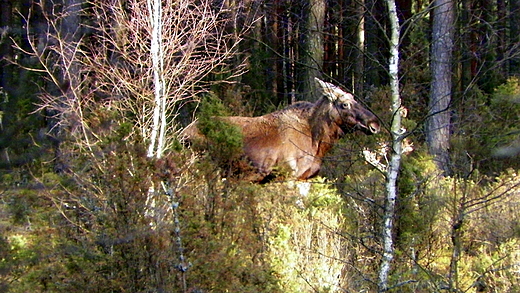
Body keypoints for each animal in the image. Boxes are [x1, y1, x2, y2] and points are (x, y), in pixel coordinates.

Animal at [185, 77, 380, 180]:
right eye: (345, 104)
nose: (375, 124)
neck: (318, 142)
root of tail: (183, 133)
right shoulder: (289, 176)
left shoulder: (304, 178)